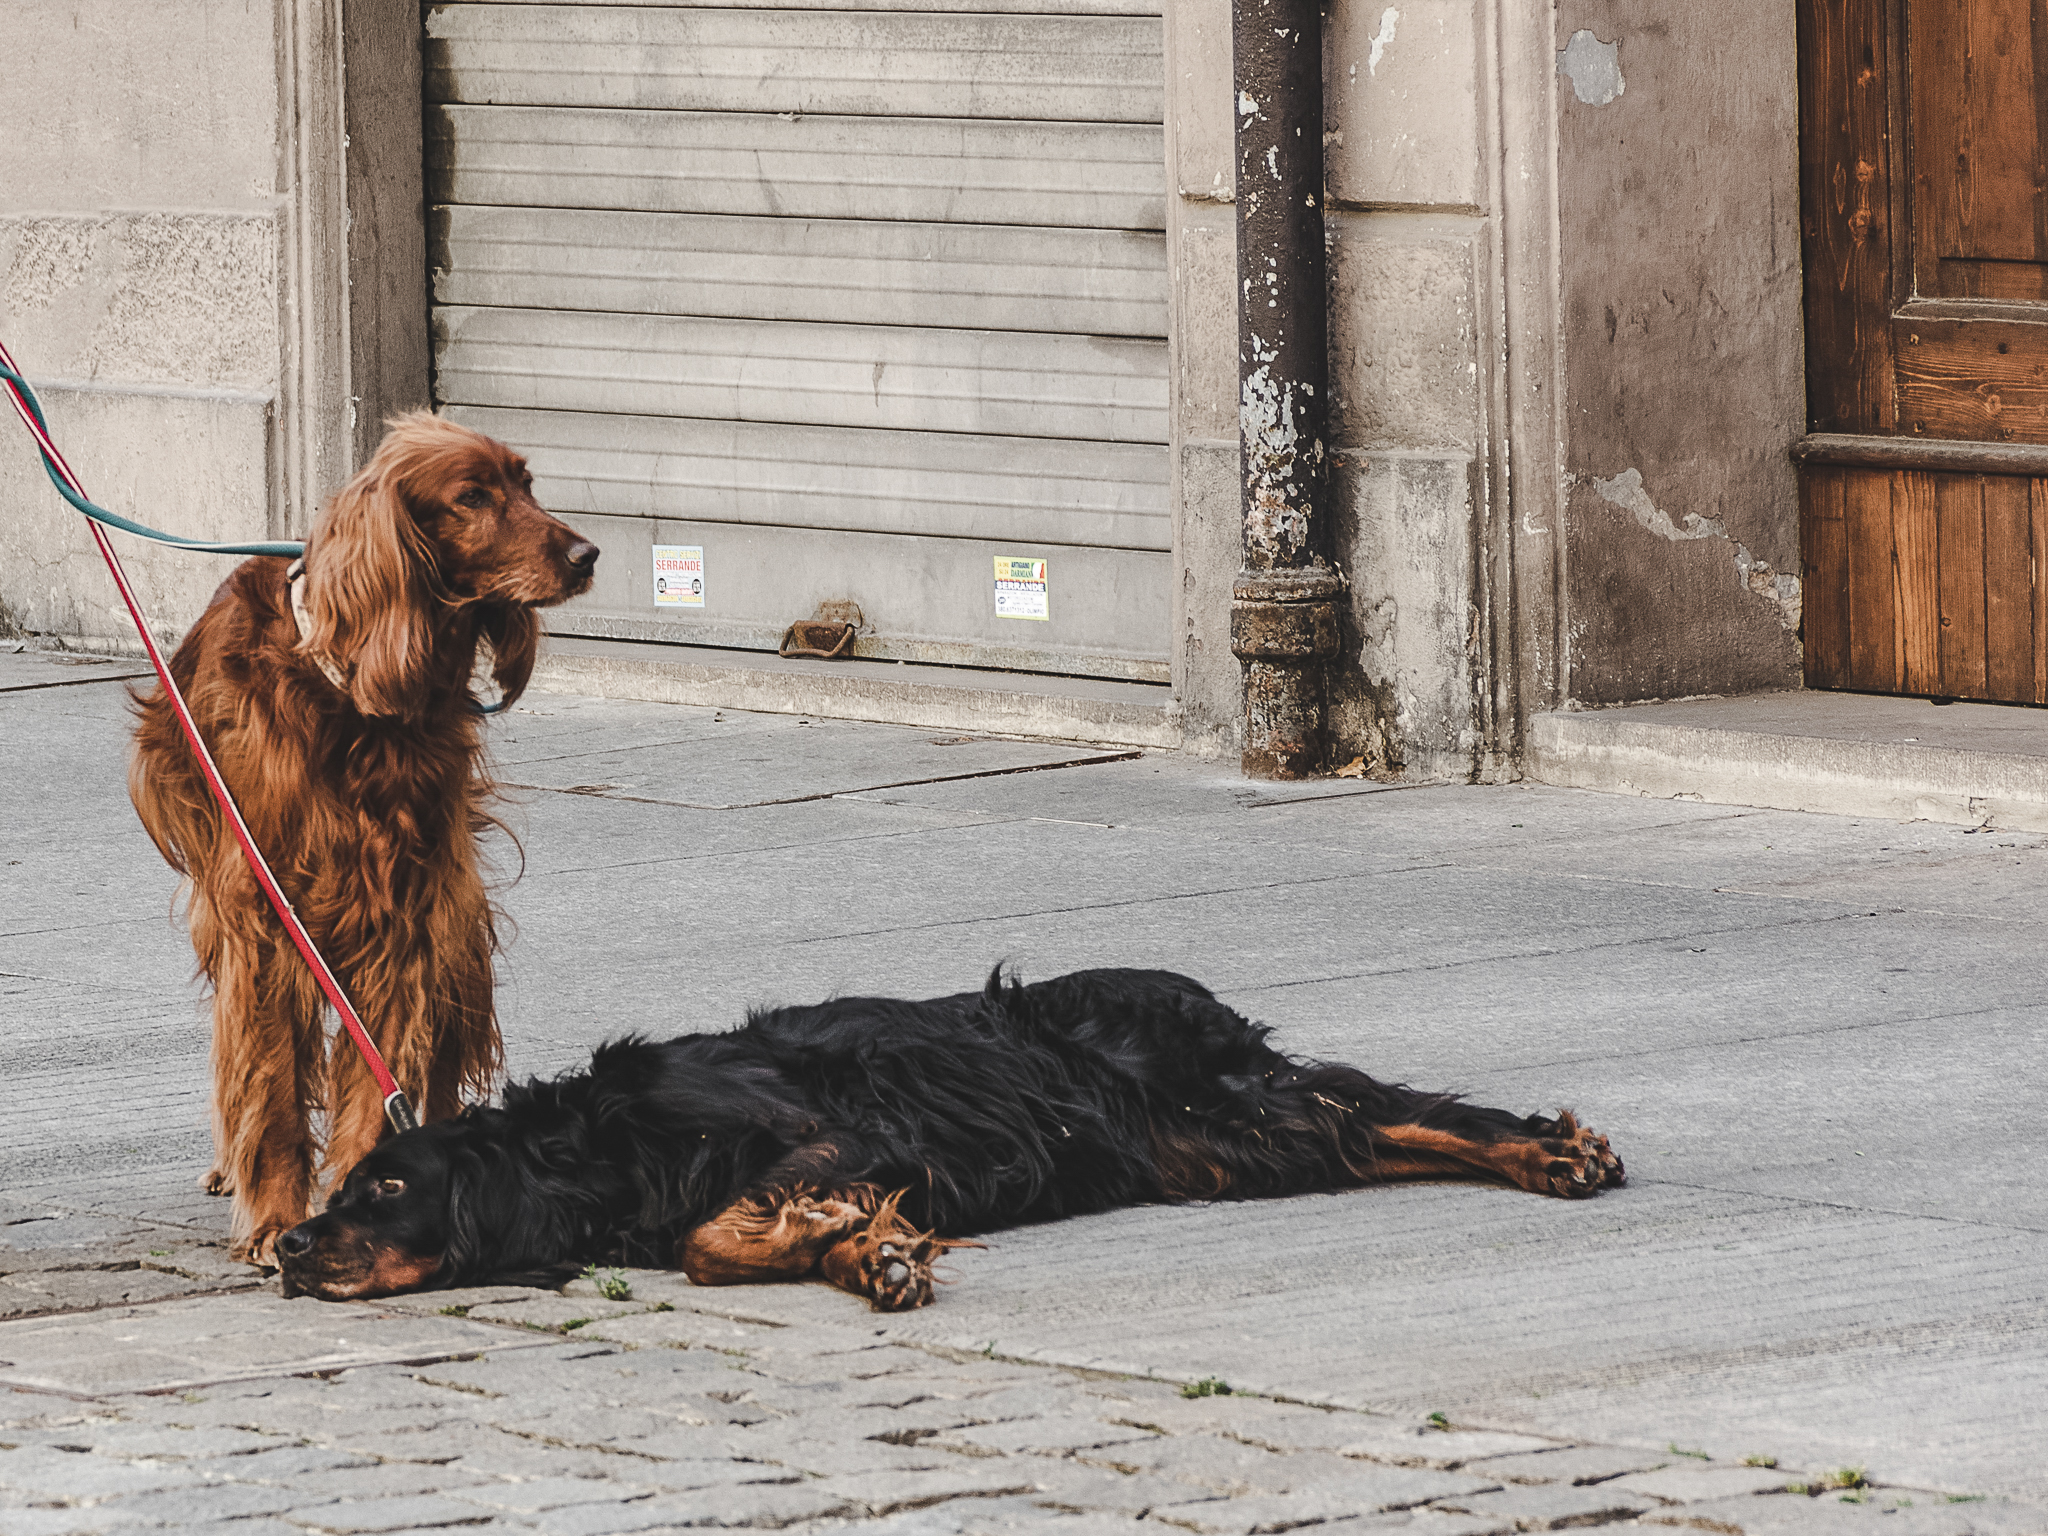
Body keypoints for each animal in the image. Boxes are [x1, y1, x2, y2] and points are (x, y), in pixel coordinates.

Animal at [132, 415, 598, 1269]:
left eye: (525, 483)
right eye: (470, 497)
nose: (586, 555)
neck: (352, 691)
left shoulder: (401, 912)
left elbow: (376, 1077)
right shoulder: (264, 913)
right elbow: (271, 1081)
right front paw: (275, 1217)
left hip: (454, 913)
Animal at [276, 966, 1613, 1302]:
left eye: (384, 1187)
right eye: (342, 1187)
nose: (287, 1246)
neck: (595, 1144)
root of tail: (1192, 993)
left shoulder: (822, 1131)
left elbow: (710, 1234)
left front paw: (831, 1240)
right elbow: (738, 1237)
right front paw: (863, 1254)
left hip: (1224, 1105)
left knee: (1407, 1113)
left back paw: (1552, 1150)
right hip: (1216, 1152)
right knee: (1372, 1135)